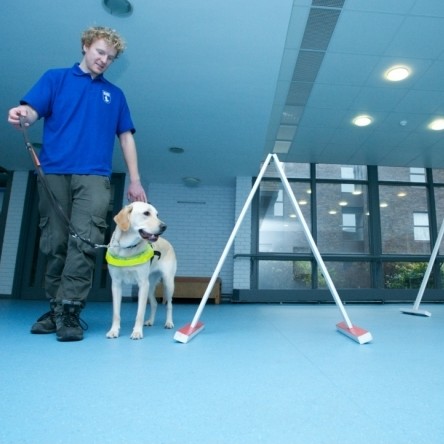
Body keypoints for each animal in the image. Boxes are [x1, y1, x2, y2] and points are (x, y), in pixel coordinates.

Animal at [106, 202, 177, 340]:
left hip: (167, 283)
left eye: (157, 215)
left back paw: (169, 322)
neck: (126, 248)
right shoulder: (116, 284)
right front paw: (114, 331)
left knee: (169, 305)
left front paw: (137, 332)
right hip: (150, 284)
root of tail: (168, 243)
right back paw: (150, 321)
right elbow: (116, 313)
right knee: (154, 303)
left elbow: (140, 313)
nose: (164, 226)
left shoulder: (142, 284)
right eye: (146, 213)